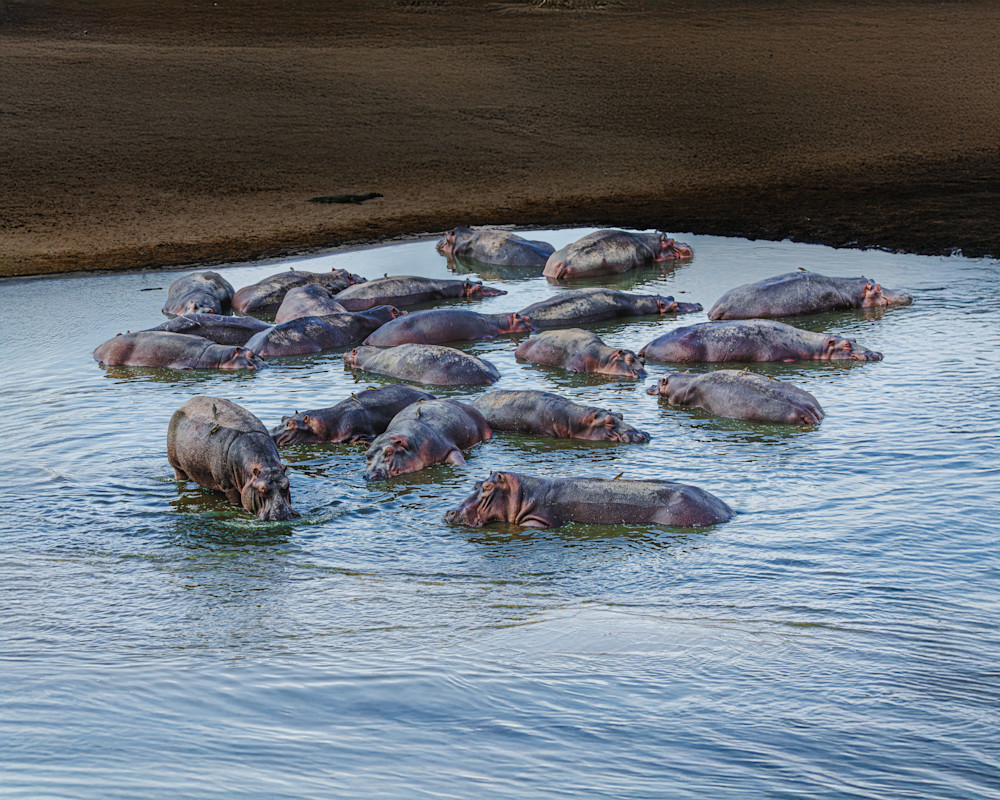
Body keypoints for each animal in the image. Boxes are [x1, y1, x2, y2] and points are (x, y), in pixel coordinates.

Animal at [167, 396, 296, 521]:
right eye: (262, 489)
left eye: (287, 485)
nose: (281, 516)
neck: (266, 464)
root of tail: (185, 403)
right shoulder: (229, 487)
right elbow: (236, 502)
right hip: (176, 465)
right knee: (179, 474)